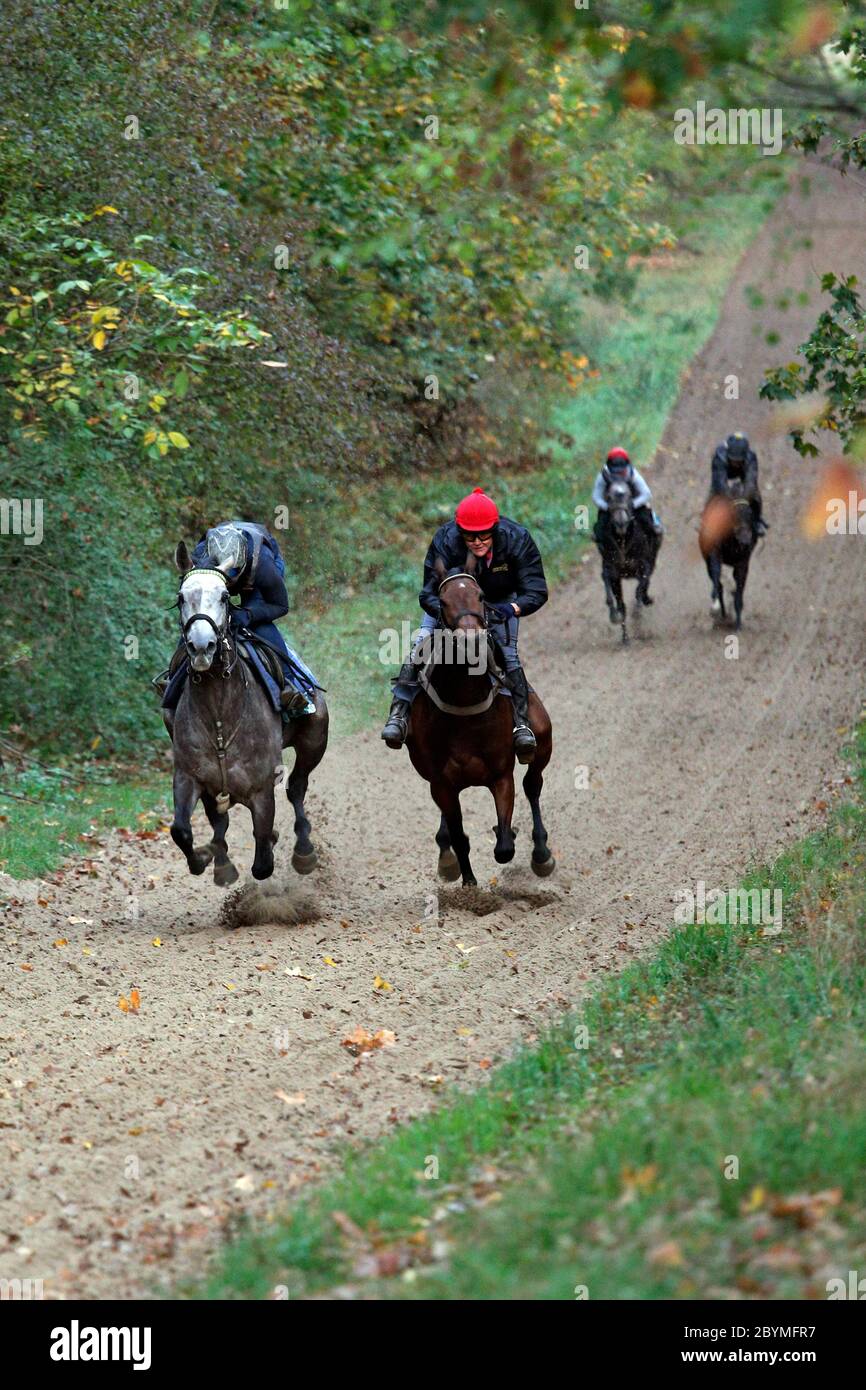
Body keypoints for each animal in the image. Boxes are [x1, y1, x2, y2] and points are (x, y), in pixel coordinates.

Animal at [162, 542, 328, 878]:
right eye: (181, 597)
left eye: (225, 597)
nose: (202, 647)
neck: (219, 712)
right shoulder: (188, 776)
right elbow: (182, 830)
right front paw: (207, 858)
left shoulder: (262, 788)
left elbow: (263, 861)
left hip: (314, 739)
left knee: (296, 787)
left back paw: (304, 849)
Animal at [405, 550, 556, 884]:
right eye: (442, 600)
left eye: (481, 596)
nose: (472, 640)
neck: (464, 701)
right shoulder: (441, 783)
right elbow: (460, 837)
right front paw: (468, 884)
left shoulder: (501, 775)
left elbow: (504, 847)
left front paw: (508, 834)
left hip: (542, 739)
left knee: (533, 784)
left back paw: (541, 853)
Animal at [600, 478, 661, 644]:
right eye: (608, 497)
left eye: (629, 497)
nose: (621, 523)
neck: (623, 540)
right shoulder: (611, 570)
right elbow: (611, 594)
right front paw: (614, 615)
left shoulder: (644, 566)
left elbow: (640, 587)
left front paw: (638, 611)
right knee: (622, 605)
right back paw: (625, 638)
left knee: (645, 585)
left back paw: (645, 601)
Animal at [697, 480, 756, 628]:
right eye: (733, 513)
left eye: (750, 513)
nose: (745, 539)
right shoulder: (714, 555)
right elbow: (717, 578)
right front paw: (716, 608)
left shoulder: (743, 561)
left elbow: (739, 588)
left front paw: (738, 623)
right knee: (718, 582)